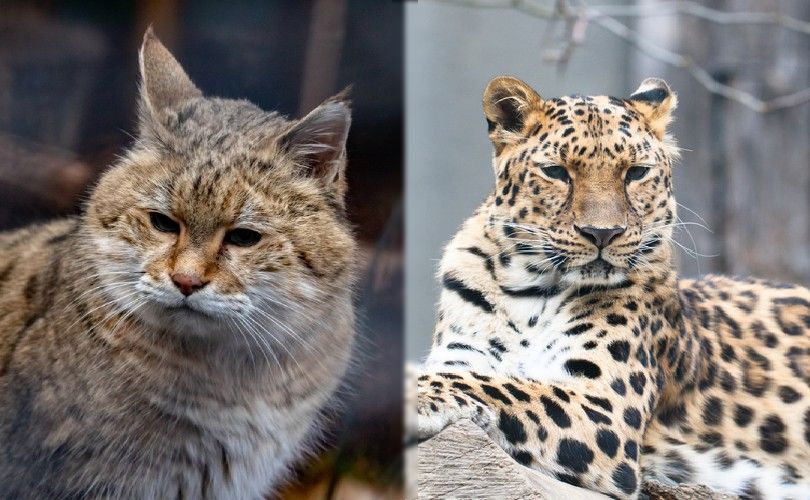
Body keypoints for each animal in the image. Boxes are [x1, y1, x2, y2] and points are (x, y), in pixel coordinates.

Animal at [416, 76, 808, 498]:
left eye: (635, 172)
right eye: (556, 171)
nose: (602, 233)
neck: (530, 290)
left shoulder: (605, 407)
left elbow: (498, 386)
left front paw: (415, 394)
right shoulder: (462, 355)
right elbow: (477, 376)